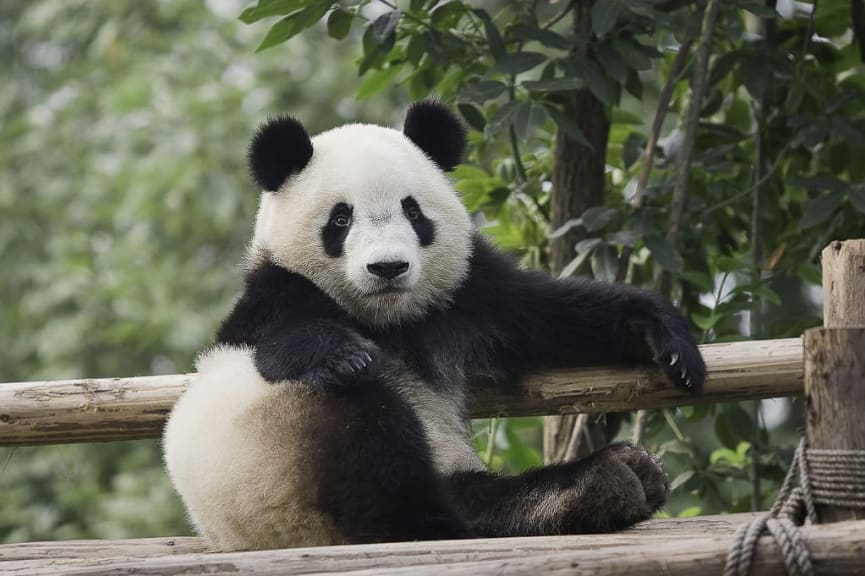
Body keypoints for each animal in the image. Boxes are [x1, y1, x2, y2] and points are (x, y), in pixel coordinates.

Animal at [164, 101, 708, 552]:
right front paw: (347, 355)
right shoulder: (274, 297)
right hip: (284, 460)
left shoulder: (466, 294)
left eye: (412, 210)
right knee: (379, 458)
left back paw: (608, 481)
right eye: (340, 219)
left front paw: (670, 342)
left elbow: (549, 315)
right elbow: (284, 343)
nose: (388, 267)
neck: (387, 320)